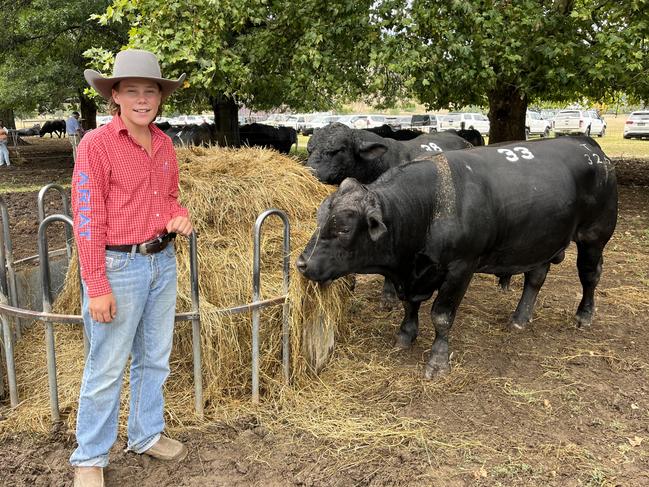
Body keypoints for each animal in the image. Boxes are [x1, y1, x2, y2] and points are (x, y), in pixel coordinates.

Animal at [296, 137, 616, 378]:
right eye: (319, 219)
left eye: (343, 228)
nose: (302, 263)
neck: (429, 207)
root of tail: (589, 147)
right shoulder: (414, 276)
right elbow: (410, 305)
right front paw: (405, 335)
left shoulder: (461, 267)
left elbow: (441, 316)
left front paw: (438, 360)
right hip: (541, 240)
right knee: (535, 278)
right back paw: (520, 317)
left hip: (595, 236)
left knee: (589, 275)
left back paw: (584, 315)